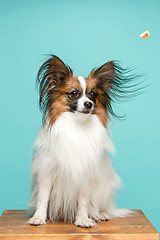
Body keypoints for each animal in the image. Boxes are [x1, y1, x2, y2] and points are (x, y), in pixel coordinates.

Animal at [28, 55, 134, 228]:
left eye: (93, 94)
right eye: (74, 93)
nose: (88, 104)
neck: (77, 124)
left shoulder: (86, 175)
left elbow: (83, 201)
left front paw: (83, 219)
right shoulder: (47, 172)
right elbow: (43, 197)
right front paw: (38, 217)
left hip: (105, 188)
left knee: (103, 205)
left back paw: (101, 214)